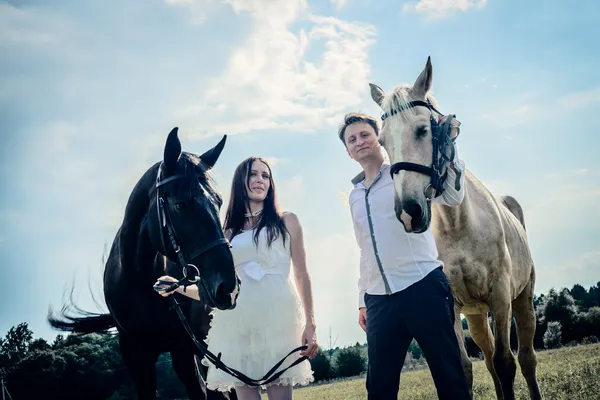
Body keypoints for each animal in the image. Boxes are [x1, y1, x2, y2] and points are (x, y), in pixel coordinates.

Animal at [48, 128, 239, 400]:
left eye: (219, 202)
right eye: (180, 204)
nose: (228, 288)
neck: (140, 281)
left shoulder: (184, 348)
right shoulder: (135, 355)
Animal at [370, 57, 544, 400]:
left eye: (423, 130)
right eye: (382, 142)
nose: (408, 213)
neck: (457, 223)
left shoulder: (500, 296)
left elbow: (507, 363)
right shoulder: (450, 305)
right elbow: (466, 368)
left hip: (523, 299)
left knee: (526, 359)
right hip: (475, 315)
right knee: (488, 359)